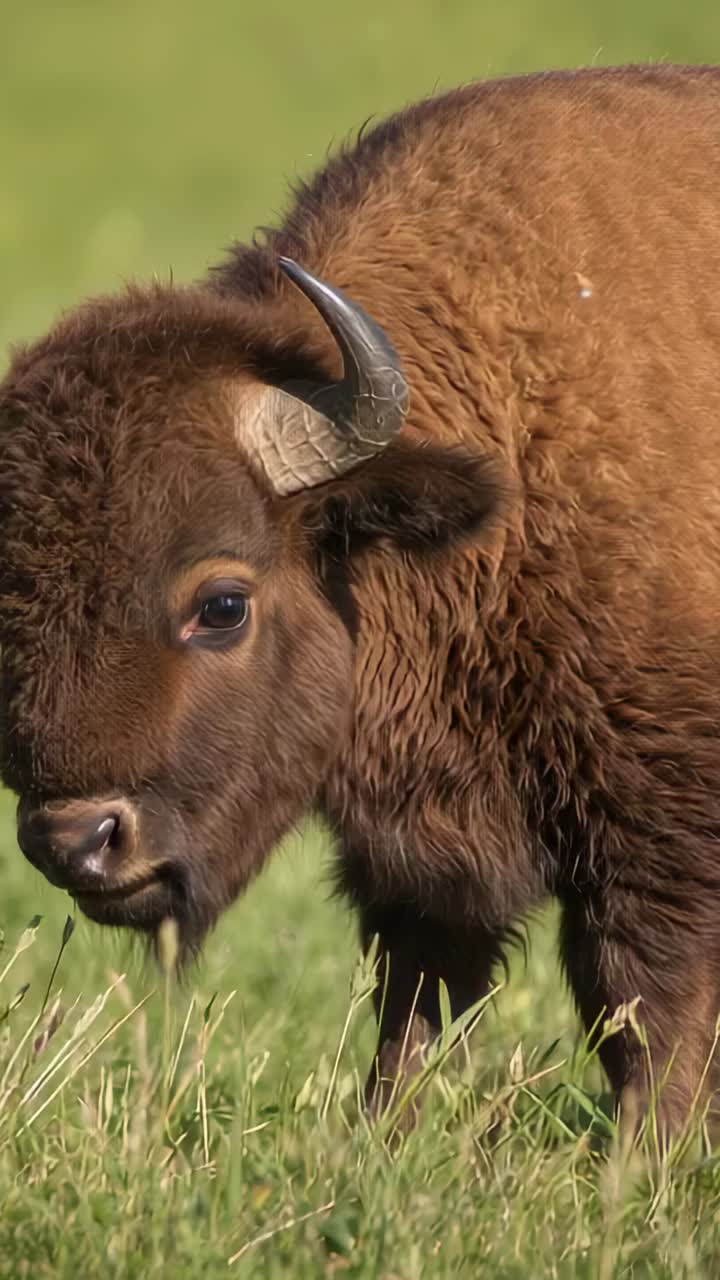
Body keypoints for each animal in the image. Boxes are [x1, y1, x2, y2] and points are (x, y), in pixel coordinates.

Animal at [2, 63, 720, 1138]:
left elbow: (643, 1006)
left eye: (223, 604)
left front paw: (647, 1156)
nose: (75, 841)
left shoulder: (658, 829)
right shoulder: (422, 853)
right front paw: (382, 1135)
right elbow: (417, 992)